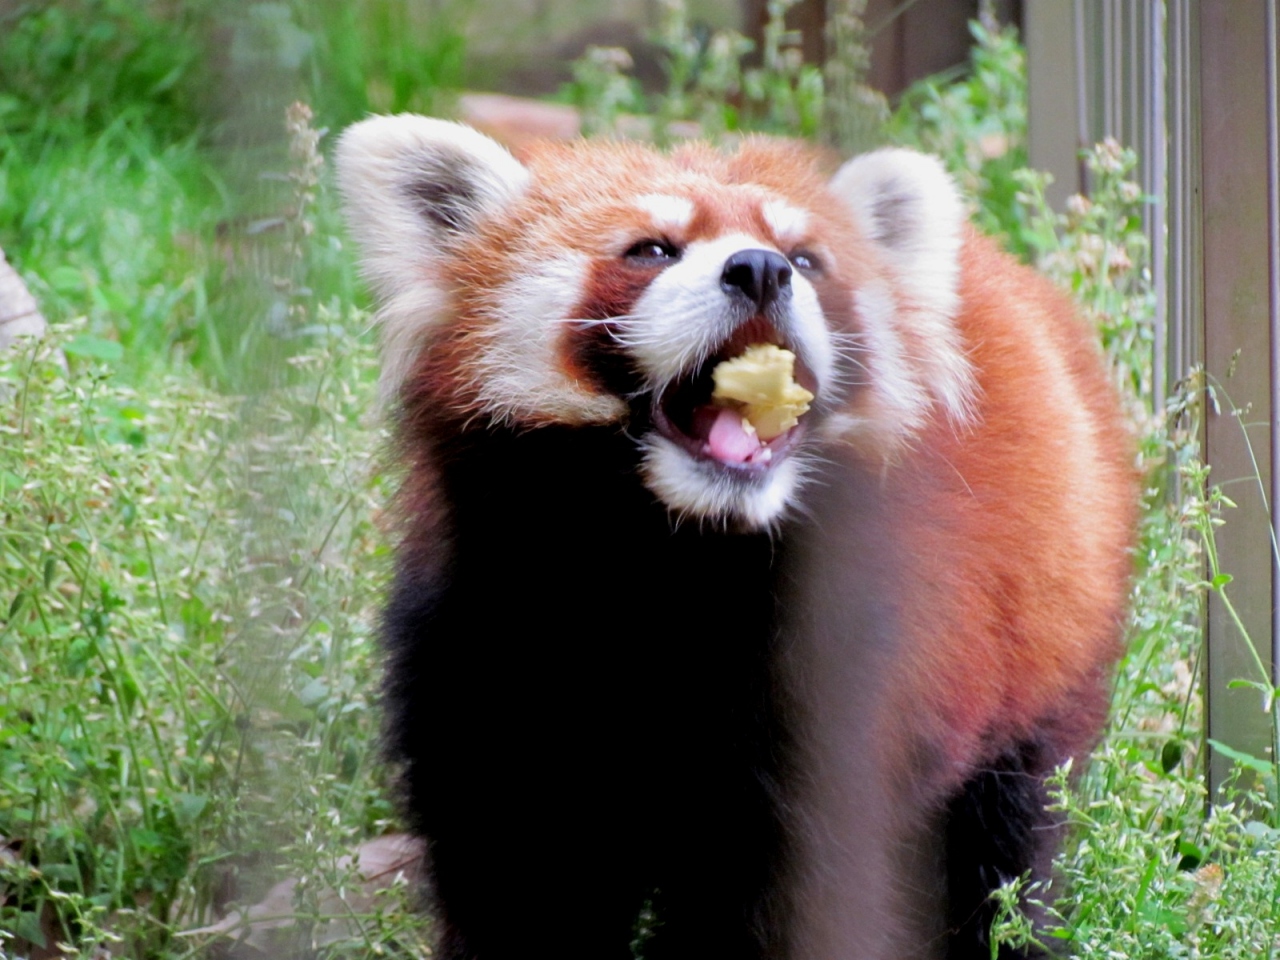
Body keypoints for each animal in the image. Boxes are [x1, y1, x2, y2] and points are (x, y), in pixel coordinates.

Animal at [335, 114, 1136, 960]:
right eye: (651, 249)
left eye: (807, 259)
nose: (760, 270)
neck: (675, 557)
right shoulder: (483, 647)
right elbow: (521, 875)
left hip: (1043, 654)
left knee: (1003, 845)